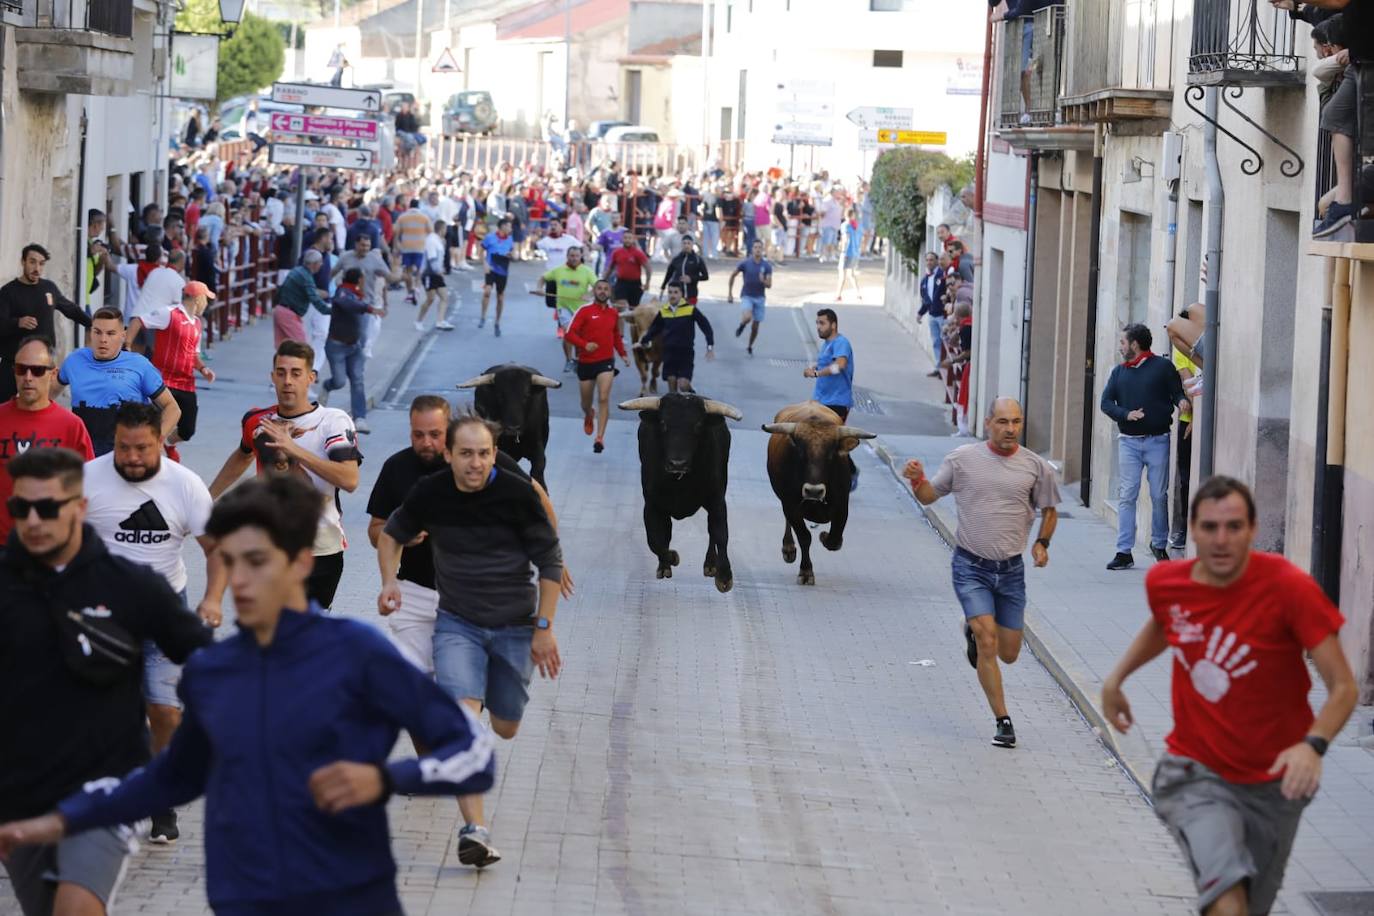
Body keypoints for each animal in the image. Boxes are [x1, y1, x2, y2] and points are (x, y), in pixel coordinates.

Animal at [618, 392, 741, 596]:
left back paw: (710, 564)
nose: (677, 463)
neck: (679, 481)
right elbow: (654, 539)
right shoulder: (651, 505)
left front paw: (724, 577)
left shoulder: (717, 500)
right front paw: (670, 558)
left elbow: (721, 533)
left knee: (711, 532)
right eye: (662, 423)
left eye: (698, 425)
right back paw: (665, 565)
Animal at [763, 401, 868, 587]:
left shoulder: (842, 505)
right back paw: (788, 548)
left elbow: (834, 540)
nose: (813, 490)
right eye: (801, 452)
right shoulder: (790, 505)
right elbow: (804, 537)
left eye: (831, 454)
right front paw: (806, 571)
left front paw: (825, 536)